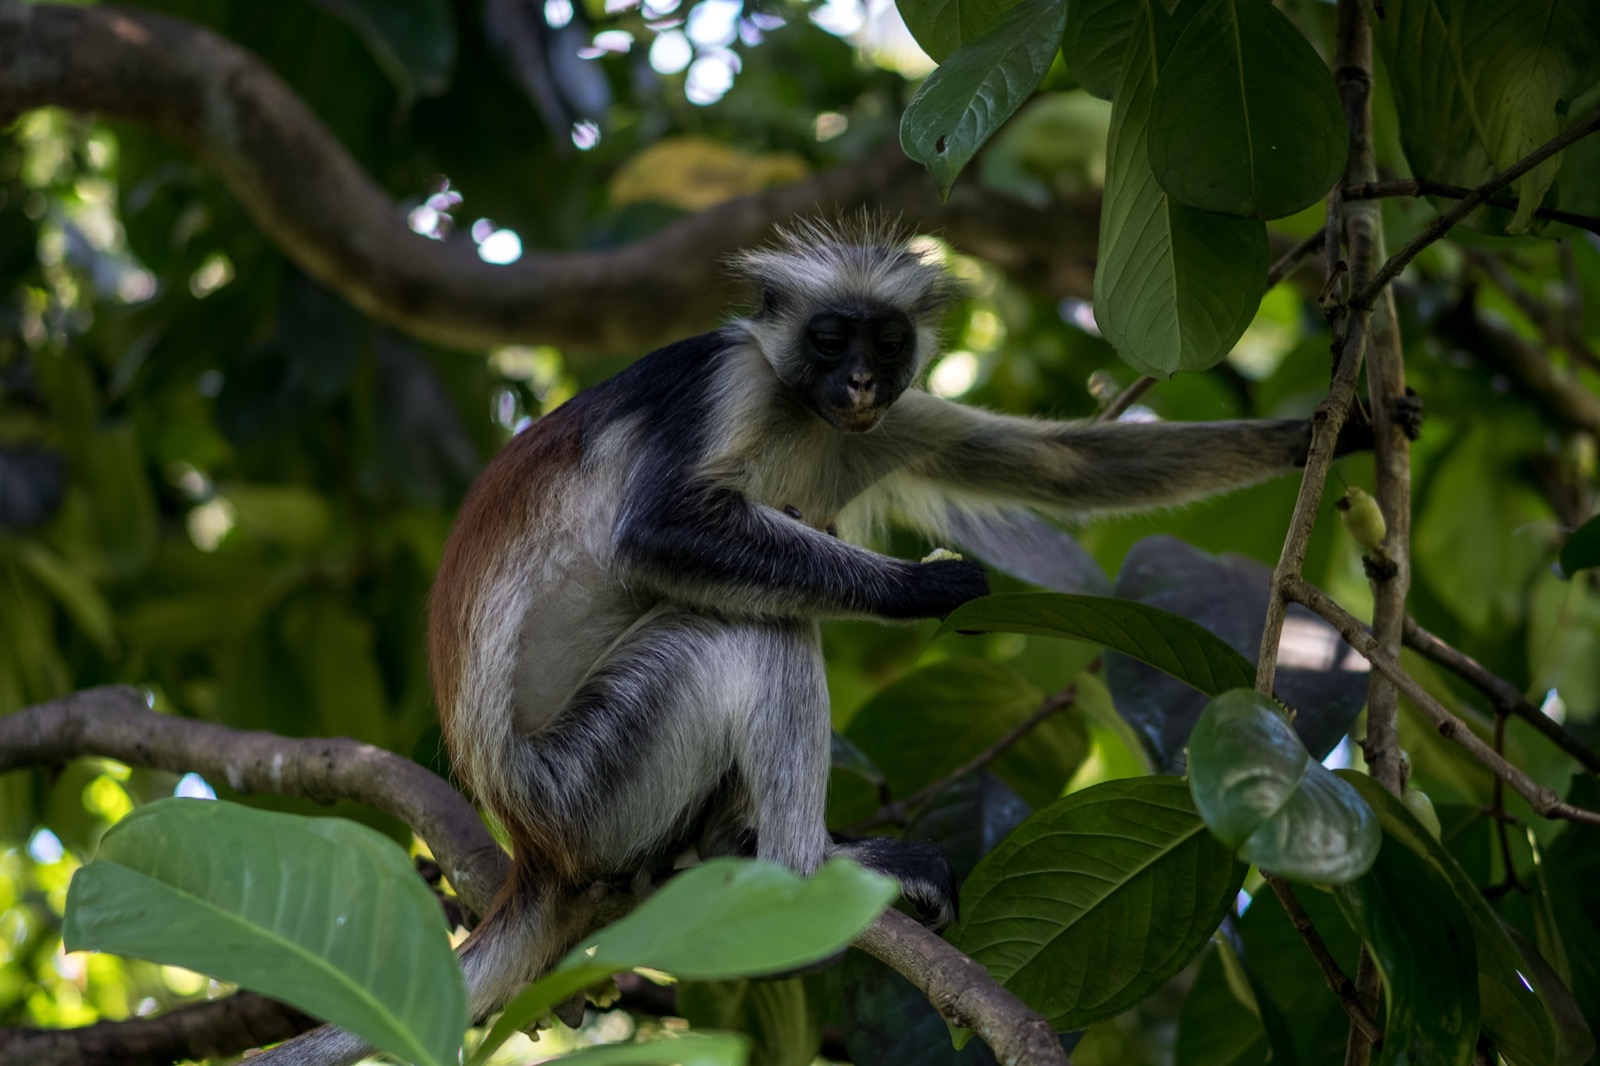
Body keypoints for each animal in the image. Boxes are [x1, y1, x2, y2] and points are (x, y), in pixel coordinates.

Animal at [254, 217, 1412, 1064]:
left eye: (882, 341)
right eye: (827, 337)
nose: (856, 382)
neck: (803, 417)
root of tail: (531, 845)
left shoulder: (884, 424)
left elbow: (1064, 470)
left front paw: (1333, 427)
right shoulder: (727, 379)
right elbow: (658, 532)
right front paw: (924, 587)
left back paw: (724, 845)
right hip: (589, 778)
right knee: (746, 626)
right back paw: (801, 863)